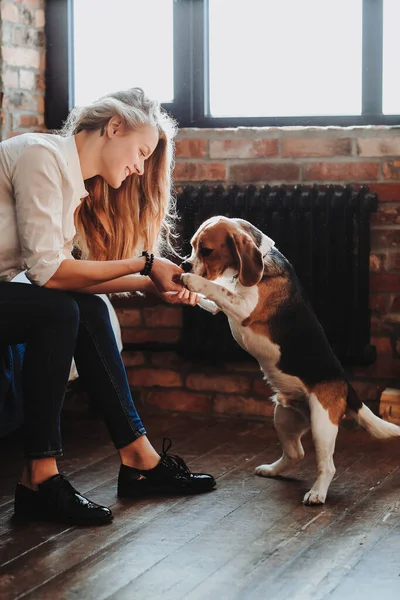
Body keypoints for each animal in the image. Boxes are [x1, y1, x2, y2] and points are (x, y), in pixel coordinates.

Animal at [181, 217, 400, 506]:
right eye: (192, 246)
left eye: (206, 250)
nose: (184, 264)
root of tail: (345, 385)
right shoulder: (221, 305)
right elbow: (214, 296)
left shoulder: (243, 308)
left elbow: (216, 288)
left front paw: (191, 280)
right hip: (284, 416)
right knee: (296, 454)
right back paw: (272, 470)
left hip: (322, 424)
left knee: (328, 466)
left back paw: (317, 493)